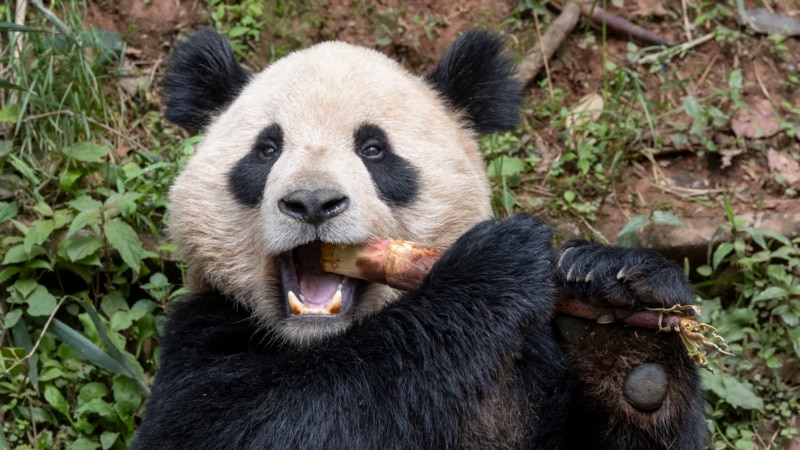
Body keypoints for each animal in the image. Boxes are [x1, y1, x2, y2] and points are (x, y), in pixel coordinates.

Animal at [133, 29, 706, 449]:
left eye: (374, 149)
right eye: (266, 149)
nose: (313, 203)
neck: (322, 343)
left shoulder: (529, 366)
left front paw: (622, 314)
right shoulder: (202, 335)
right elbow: (274, 424)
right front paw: (493, 266)